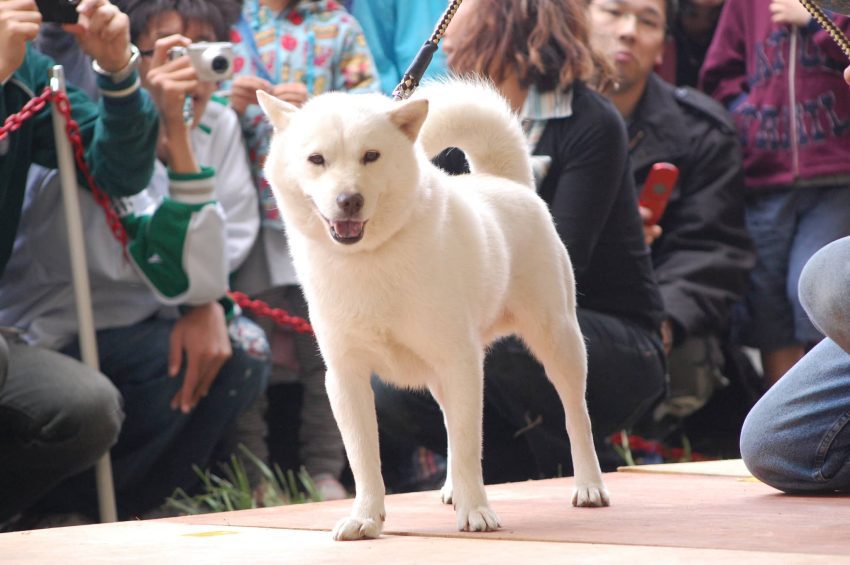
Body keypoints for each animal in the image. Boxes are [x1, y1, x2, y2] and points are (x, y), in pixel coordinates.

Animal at [258, 78, 608, 536]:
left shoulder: (461, 362)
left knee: (576, 415)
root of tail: (505, 180)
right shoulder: (347, 375)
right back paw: (452, 490)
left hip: (558, 341)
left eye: (371, 156)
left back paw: (589, 486)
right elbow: (364, 458)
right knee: (449, 425)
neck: (370, 259)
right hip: (441, 375)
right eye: (316, 159)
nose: (349, 199)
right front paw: (365, 518)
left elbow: (468, 446)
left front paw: (477, 512)